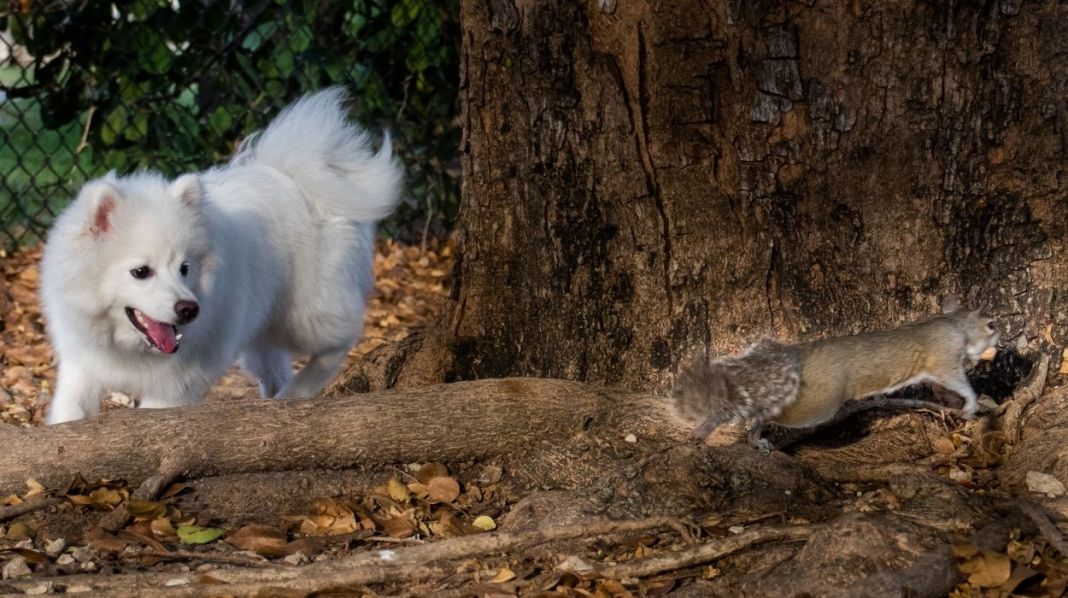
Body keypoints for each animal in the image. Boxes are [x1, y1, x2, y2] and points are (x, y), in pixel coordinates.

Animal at [39, 89, 401, 425]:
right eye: (141, 271)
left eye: (184, 268)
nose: (189, 309)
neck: (127, 346)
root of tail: (294, 178)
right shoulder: (82, 368)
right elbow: (69, 414)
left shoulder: (172, 387)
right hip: (264, 332)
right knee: (276, 370)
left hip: (307, 316)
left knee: (339, 342)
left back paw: (298, 391)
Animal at [670, 301, 995, 450]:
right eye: (991, 324)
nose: (1000, 338)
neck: (955, 324)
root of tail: (797, 356)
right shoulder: (944, 359)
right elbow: (959, 382)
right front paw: (970, 403)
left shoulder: (934, 370)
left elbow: (940, 386)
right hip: (817, 404)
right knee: (766, 411)